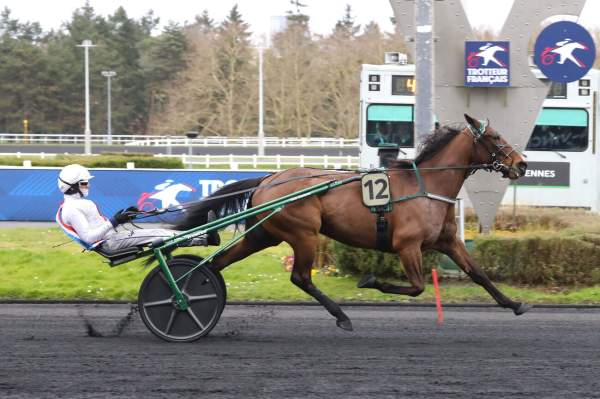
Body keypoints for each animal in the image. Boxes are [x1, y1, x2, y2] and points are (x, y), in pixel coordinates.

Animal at [175, 115, 528, 332]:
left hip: (263, 235)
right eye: (495, 137)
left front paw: (514, 304)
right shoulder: (407, 245)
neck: (428, 185)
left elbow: (478, 273)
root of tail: (268, 179)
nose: (521, 164)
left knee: (216, 265)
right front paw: (370, 280)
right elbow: (417, 287)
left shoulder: (447, 242)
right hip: (303, 234)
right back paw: (341, 315)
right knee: (301, 277)